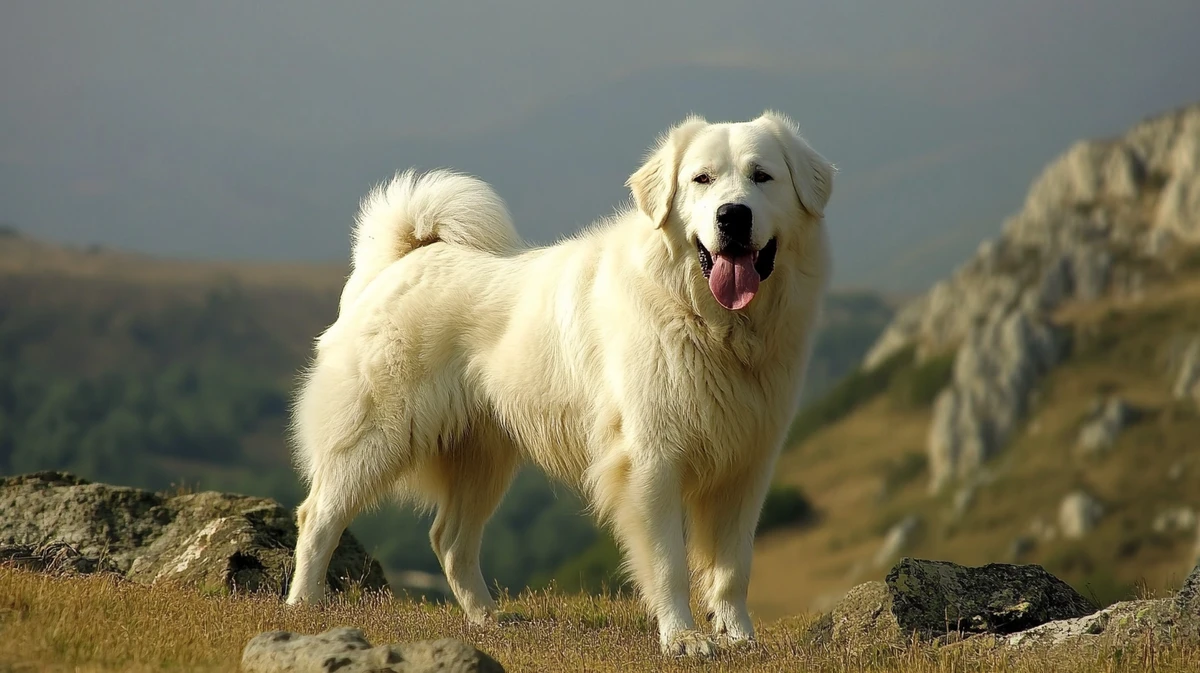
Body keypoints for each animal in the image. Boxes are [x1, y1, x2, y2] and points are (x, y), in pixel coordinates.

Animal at [286, 111, 835, 657]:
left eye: (762, 177)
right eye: (702, 179)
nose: (732, 216)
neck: (709, 324)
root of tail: (401, 261)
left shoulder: (746, 466)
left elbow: (732, 569)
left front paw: (741, 640)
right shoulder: (651, 462)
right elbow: (669, 565)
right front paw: (682, 639)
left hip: (483, 459)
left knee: (450, 541)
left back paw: (490, 622)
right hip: (376, 438)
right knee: (318, 516)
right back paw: (305, 610)